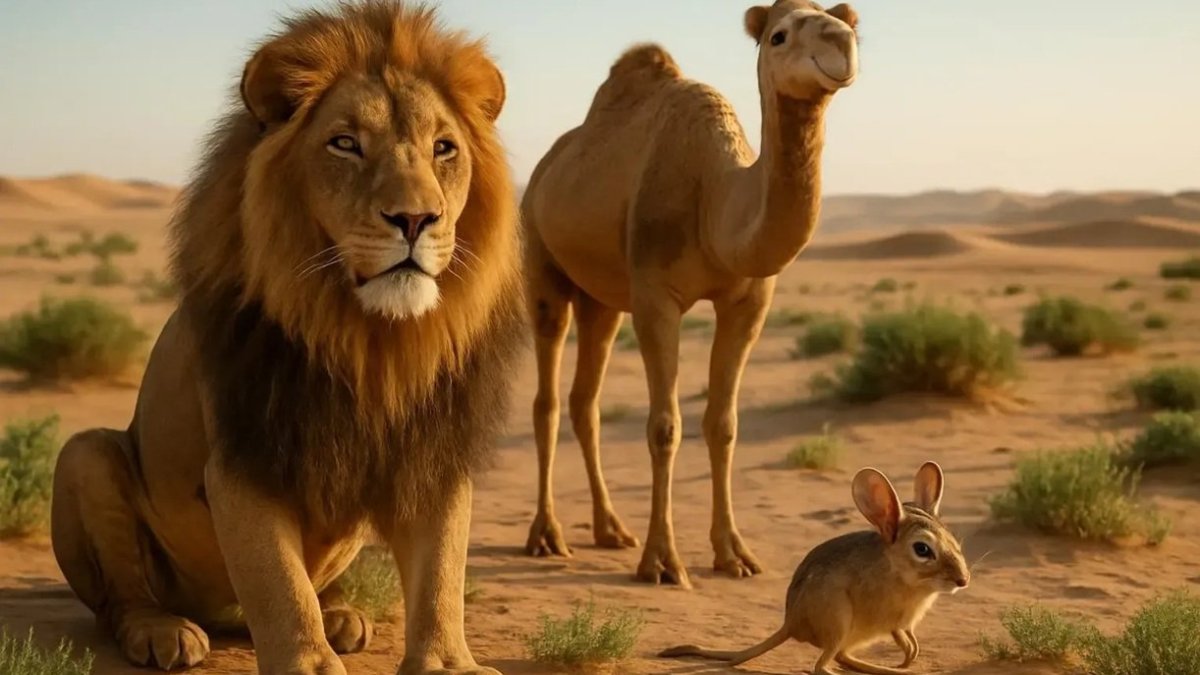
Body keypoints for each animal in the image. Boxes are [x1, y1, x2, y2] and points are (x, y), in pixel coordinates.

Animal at [48, 3, 523, 674]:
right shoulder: (245, 454)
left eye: (443, 149)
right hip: (84, 454)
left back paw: (344, 615)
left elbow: (441, 576)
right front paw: (308, 663)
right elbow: (279, 584)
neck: (369, 339)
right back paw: (163, 631)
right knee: (122, 599)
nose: (415, 219)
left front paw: (448, 663)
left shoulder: (434, 449)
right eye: (345, 143)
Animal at [520, 0, 861, 588]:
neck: (714, 198)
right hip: (542, 267)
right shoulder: (657, 297)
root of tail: (543, 169)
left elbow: (723, 425)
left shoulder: (749, 303)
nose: (840, 42)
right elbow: (664, 426)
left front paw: (734, 554)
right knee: (547, 400)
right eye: (778, 35)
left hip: (601, 300)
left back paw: (610, 529)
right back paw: (547, 535)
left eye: (849, 21)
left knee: (585, 401)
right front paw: (662, 562)